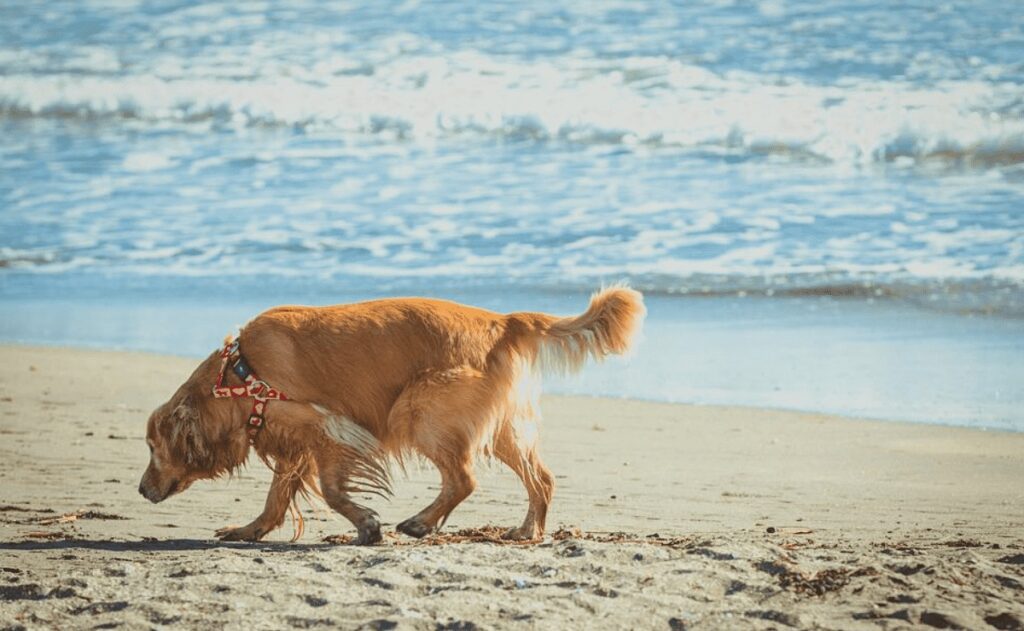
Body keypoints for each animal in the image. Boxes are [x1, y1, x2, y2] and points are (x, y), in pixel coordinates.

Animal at [140, 286, 643, 540]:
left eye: (150, 447)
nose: (141, 490)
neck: (241, 372)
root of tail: (502, 321)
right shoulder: (294, 441)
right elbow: (277, 497)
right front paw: (251, 530)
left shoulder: (327, 428)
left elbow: (332, 492)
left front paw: (367, 524)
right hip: (500, 428)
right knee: (542, 478)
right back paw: (527, 531)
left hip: (419, 409)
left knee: (464, 479)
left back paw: (421, 522)